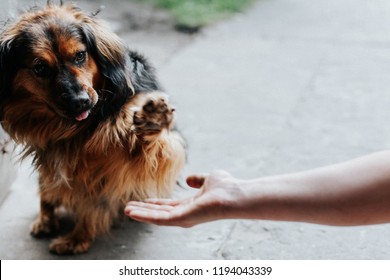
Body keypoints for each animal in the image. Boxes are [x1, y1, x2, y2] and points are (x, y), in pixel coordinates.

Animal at [0, 2, 187, 255]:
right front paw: (71, 232)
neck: (79, 128)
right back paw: (46, 219)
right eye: (40, 68)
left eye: (80, 55)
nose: (80, 102)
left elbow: (148, 148)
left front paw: (153, 120)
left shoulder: (132, 161)